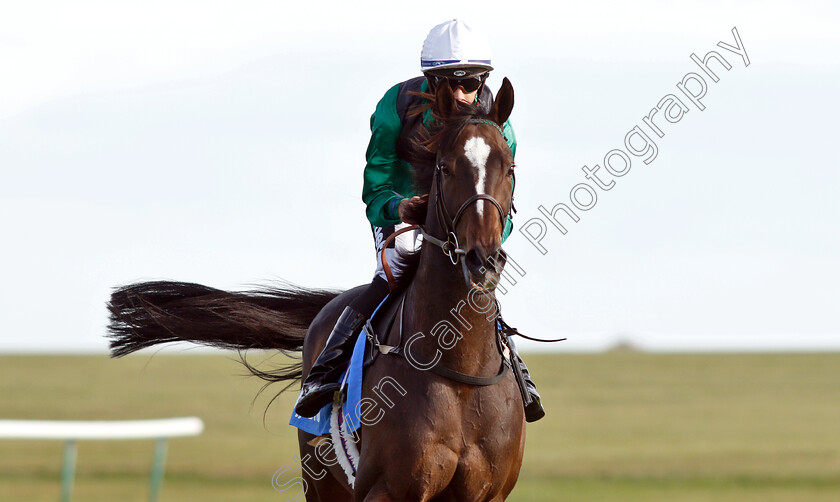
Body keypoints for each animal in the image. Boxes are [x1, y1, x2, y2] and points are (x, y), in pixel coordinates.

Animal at [106, 76, 524, 500]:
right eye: (444, 167)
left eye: (509, 167)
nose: (482, 260)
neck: (458, 373)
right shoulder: (386, 490)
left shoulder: (490, 493)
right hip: (321, 480)